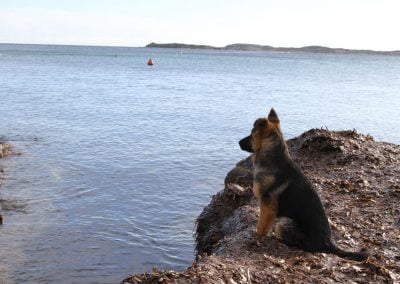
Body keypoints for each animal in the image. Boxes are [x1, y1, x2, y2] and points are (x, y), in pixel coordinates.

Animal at [239, 108, 368, 262]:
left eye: (251, 135)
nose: (238, 142)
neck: (273, 158)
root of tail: (328, 243)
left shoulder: (267, 205)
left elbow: (261, 225)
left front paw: (257, 236)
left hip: (283, 223)